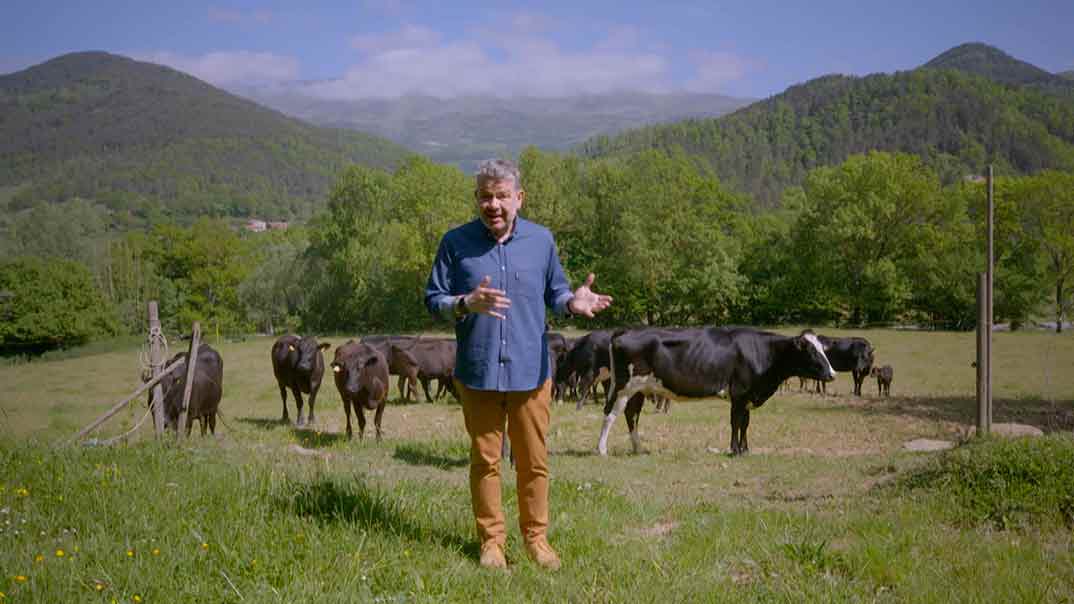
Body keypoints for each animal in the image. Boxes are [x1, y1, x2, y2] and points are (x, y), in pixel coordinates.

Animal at [597, 326, 837, 453]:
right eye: (810, 351)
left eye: (823, 349)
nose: (832, 373)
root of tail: (624, 330)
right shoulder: (739, 393)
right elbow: (736, 422)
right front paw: (735, 450)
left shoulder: (747, 397)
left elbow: (745, 424)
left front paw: (745, 449)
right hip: (623, 387)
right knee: (610, 415)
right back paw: (601, 450)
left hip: (638, 389)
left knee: (632, 415)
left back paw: (638, 449)